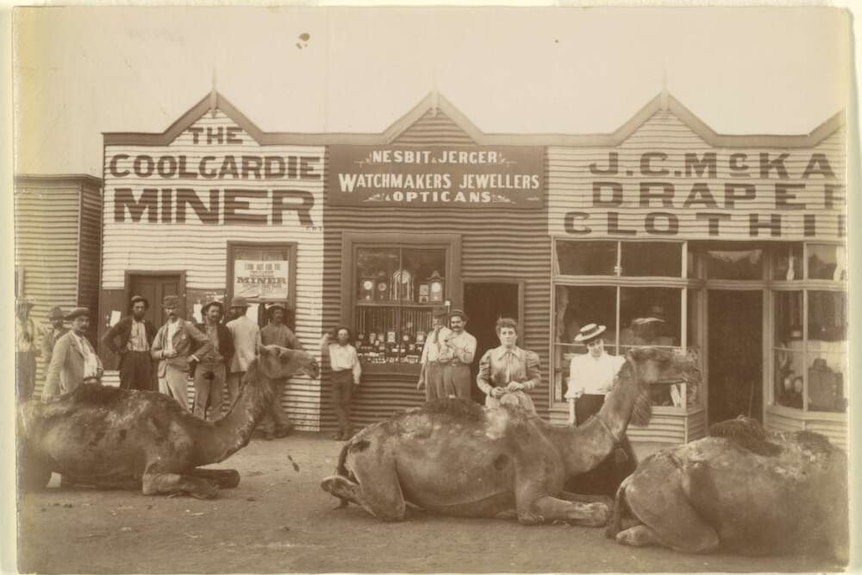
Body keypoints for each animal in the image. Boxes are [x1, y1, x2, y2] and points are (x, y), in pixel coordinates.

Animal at [16, 346, 320, 500]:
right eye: (282, 354)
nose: (315, 364)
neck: (197, 434)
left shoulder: (187, 463)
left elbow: (232, 476)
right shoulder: (153, 474)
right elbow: (207, 488)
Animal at [320, 346, 700, 528]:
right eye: (660, 356)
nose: (694, 366)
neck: (563, 445)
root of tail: (355, 440)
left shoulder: (551, 484)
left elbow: (603, 500)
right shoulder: (531, 497)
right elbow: (595, 511)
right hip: (376, 463)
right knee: (384, 503)